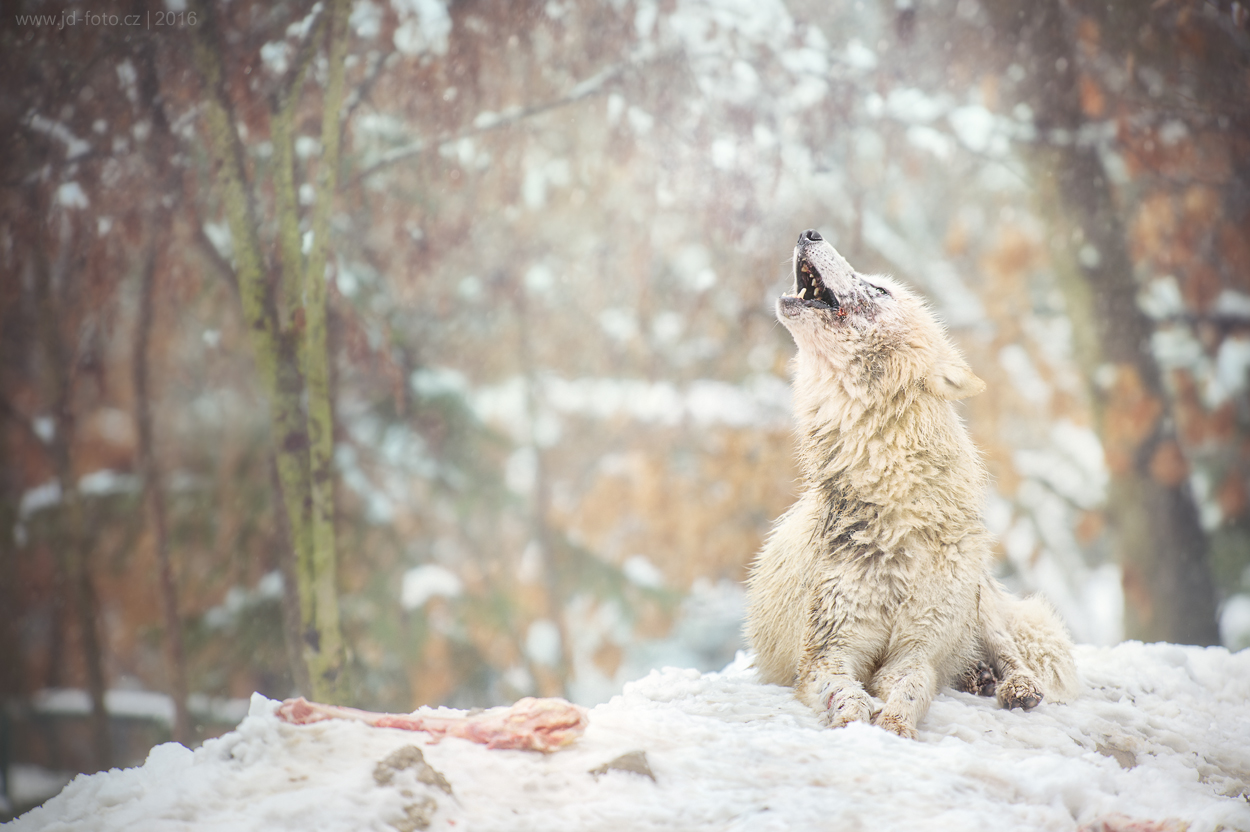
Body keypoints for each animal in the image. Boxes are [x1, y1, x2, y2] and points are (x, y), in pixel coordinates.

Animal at [745, 228, 1080, 739]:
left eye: (880, 289)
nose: (809, 232)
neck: (893, 505)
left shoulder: (918, 648)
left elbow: (911, 688)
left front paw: (896, 727)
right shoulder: (827, 651)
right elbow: (843, 692)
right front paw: (855, 721)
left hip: (976, 603)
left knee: (1008, 651)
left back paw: (1014, 686)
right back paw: (976, 677)